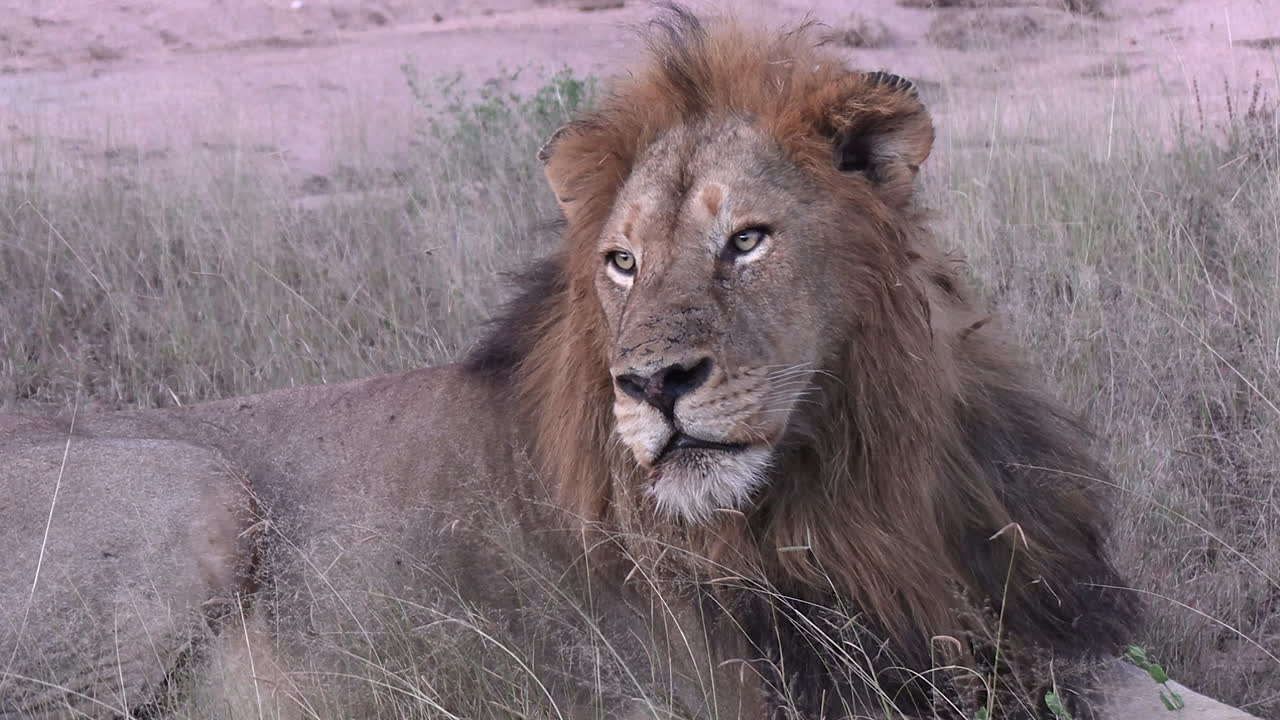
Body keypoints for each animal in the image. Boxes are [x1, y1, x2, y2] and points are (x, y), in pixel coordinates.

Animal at [0, 7, 1259, 720]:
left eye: (744, 239)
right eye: (620, 261)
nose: (653, 387)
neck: (866, 473)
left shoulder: (1014, 623)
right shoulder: (824, 686)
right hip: (192, 495)